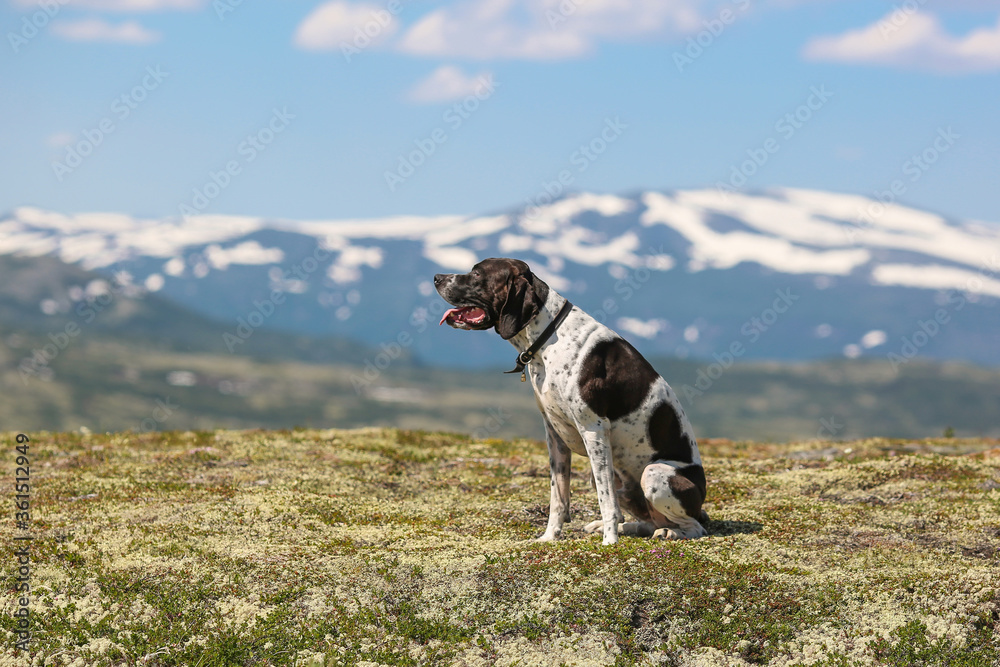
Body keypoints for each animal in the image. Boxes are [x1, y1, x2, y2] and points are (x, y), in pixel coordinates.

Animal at [434, 258, 708, 544]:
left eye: (477, 273)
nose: (436, 277)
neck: (548, 337)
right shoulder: (554, 434)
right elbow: (559, 497)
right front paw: (549, 537)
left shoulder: (593, 430)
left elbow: (606, 502)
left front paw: (609, 543)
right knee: (646, 521)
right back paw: (626, 528)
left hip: (654, 473)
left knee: (693, 526)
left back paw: (666, 532)